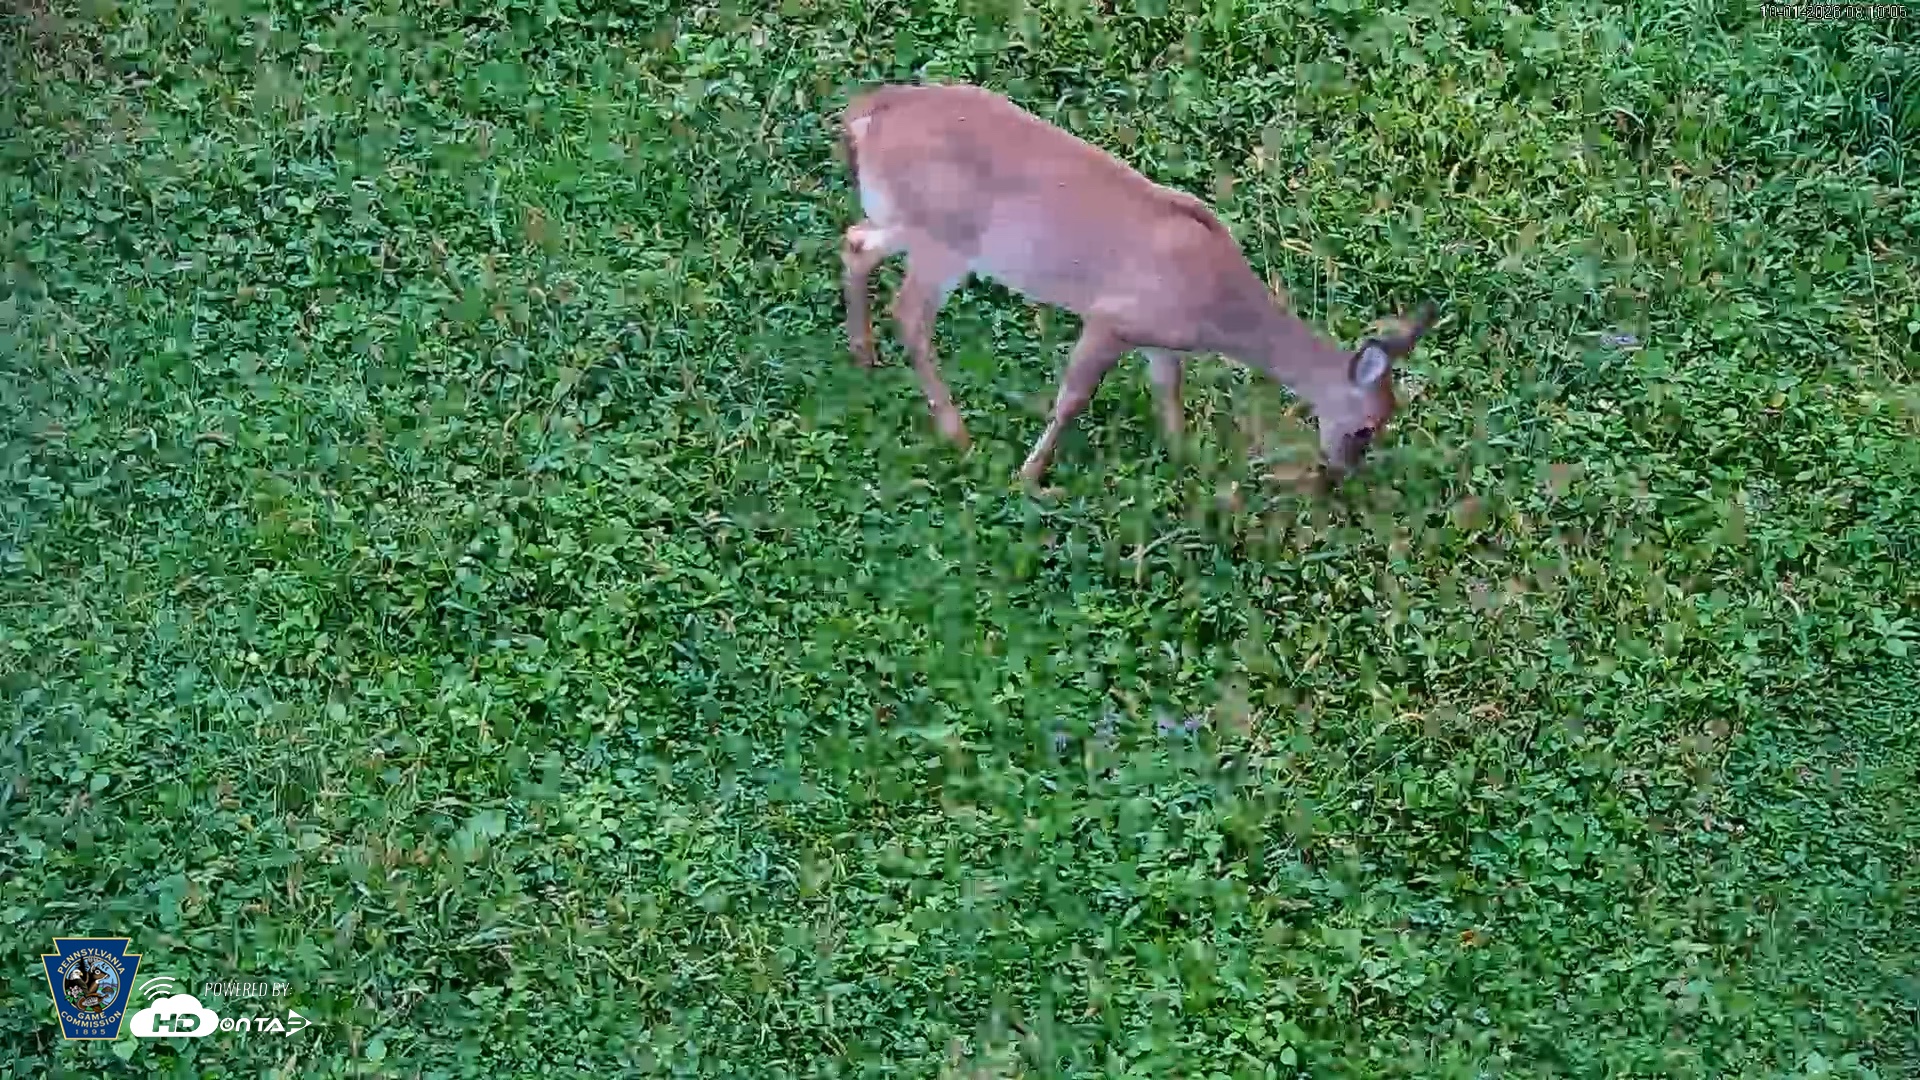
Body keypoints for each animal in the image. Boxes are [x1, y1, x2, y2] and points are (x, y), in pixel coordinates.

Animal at [836, 81, 1439, 487]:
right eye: (1366, 427)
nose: (1340, 473)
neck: (1214, 307)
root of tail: (868, 112)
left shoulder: (1159, 341)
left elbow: (1170, 394)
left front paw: (1185, 461)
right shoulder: (1112, 317)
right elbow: (1072, 398)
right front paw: (1030, 477)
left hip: (905, 220)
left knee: (855, 241)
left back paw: (864, 356)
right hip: (945, 240)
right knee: (909, 313)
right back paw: (958, 434)